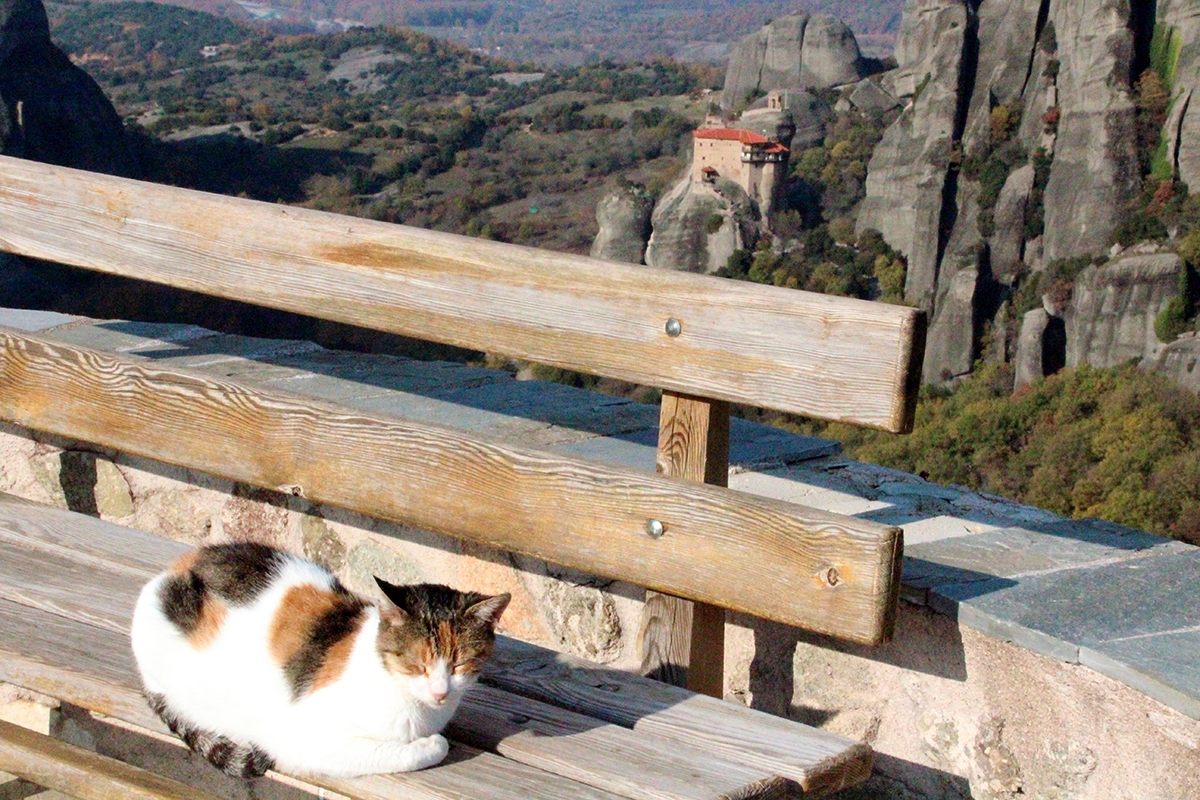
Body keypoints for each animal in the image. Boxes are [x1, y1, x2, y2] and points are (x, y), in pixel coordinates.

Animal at [129, 542, 508, 777]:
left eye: (460, 664)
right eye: (417, 664)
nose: (441, 693)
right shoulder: (306, 742)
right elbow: (413, 750)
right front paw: (431, 744)